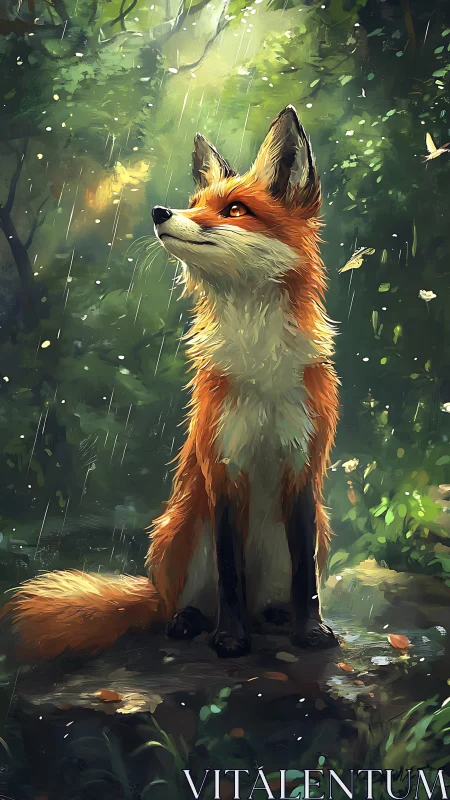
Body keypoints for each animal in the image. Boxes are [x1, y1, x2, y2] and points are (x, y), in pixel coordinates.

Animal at [2, 105, 339, 661]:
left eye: (234, 210)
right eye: (194, 204)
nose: (161, 212)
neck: (260, 365)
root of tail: (155, 589)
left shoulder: (302, 467)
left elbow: (305, 582)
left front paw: (309, 633)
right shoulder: (221, 467)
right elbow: (229, 572)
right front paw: (230, 639)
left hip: (312, 534)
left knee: (278, 586)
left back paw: (272, 616)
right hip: (181, 529)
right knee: (182, 603)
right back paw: (190, 621)